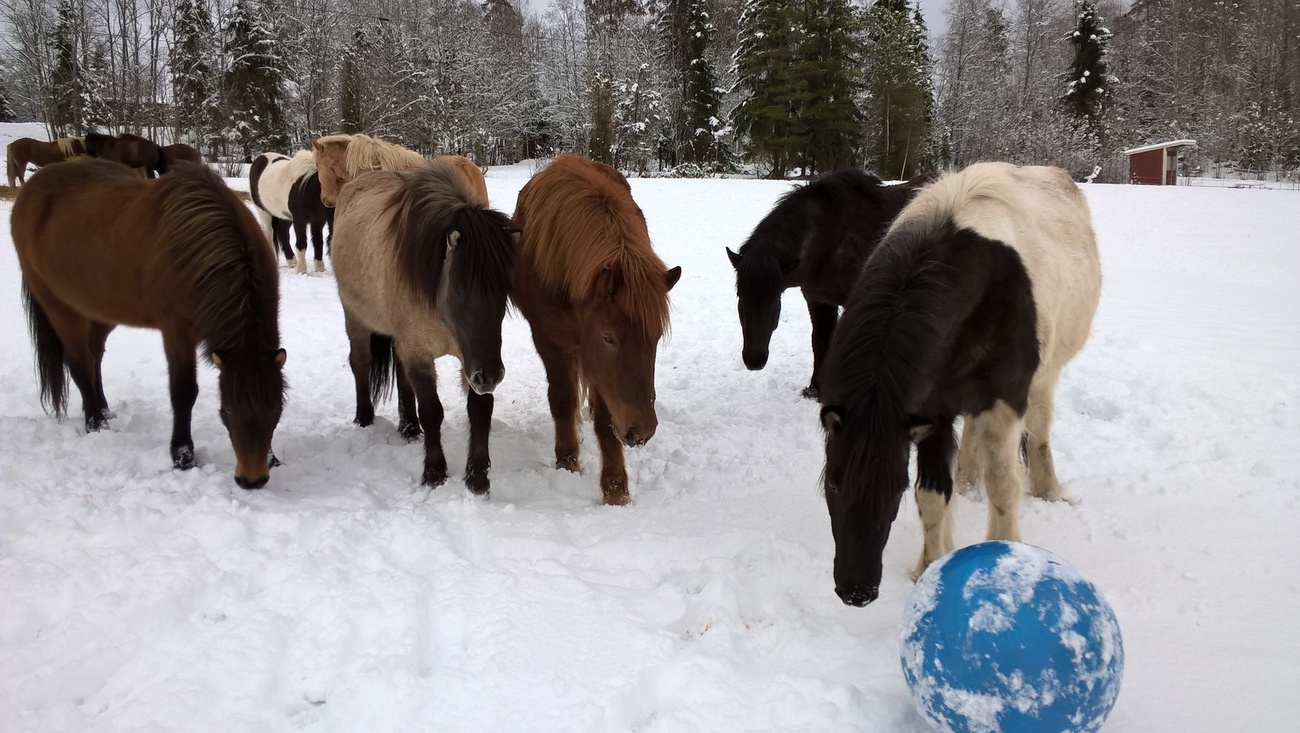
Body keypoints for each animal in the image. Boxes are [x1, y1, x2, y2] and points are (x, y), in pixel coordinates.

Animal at [10, 160, 288, 488]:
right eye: (228, 409)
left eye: (276, 409)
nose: (252, 480)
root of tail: (29, 191)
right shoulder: (177, 332)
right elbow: (183, 392)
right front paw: (183, 456)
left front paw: (272, 458)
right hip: (62, 309)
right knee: (79, 363)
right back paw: (96, 423)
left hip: (101, 312)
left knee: (94, 359)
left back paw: (104, 411)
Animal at [329, 157, 517, 492]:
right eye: (460, 288)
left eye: (504, 290)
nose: (490, 377)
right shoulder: (420, 352)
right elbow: (432, 411)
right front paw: (434, 472)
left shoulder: (469, 355)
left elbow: (480, 410)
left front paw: (477, 476)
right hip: (355, 316)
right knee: (360, 362)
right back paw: (364, 418)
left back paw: (408, 427)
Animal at [512, 154, 682, 505]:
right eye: (609, 337)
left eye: (656, 338)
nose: (642, 431)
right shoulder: (549, 340)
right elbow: (562, 399)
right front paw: (567, 462)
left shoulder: (600, 369)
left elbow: (605, 417)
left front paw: (615, 487)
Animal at [726, 170, 922, 399]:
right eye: (740, 297)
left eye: (775, 300)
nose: (753, 360)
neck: (832, 241)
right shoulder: (818, 300)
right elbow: (820, 342)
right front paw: (815, 388)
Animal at [816, 162, 1101, 607]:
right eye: (833, 480)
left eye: (895, 488)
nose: (856, 592)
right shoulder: (930, 411)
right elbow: (933, 495)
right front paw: (929, 568)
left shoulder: (1003, 403)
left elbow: (1003, 486)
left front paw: (1006, 554)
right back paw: (967, 480)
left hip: (1043, 379)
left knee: (1038, 435)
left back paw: (1049, 490)